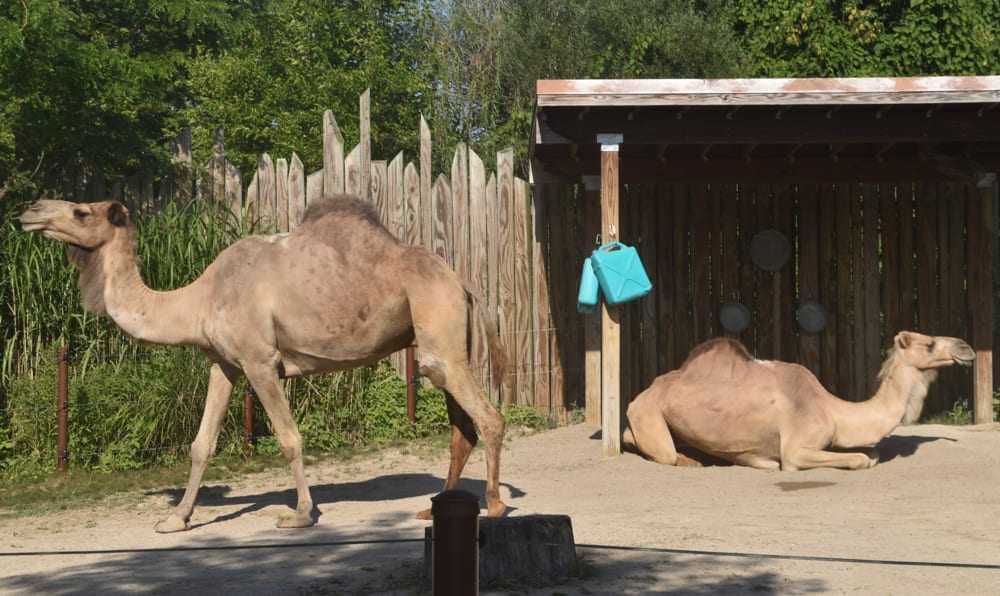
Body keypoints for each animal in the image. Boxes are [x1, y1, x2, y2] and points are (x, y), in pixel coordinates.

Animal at [19, 194, 509, 532]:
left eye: (81, 212)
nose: (31, 210)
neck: (199, 300)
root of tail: (463, 283)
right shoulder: (224, 364)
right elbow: (202, 444)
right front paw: (176, 519)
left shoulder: (259, 361)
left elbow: (290, 438)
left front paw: (300, 514)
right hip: (440, 343)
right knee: (460, 428)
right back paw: (434, 506)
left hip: (439, 330)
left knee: (489, 417)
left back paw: (495, 504)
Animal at [622, 332, 974, 470]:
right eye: (929, 344)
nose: (966, 347)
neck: (833, 409)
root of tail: (644, 392)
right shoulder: (796, 449)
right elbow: (860, 459)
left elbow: (870, 453)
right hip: (646, 413)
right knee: (656, 449)